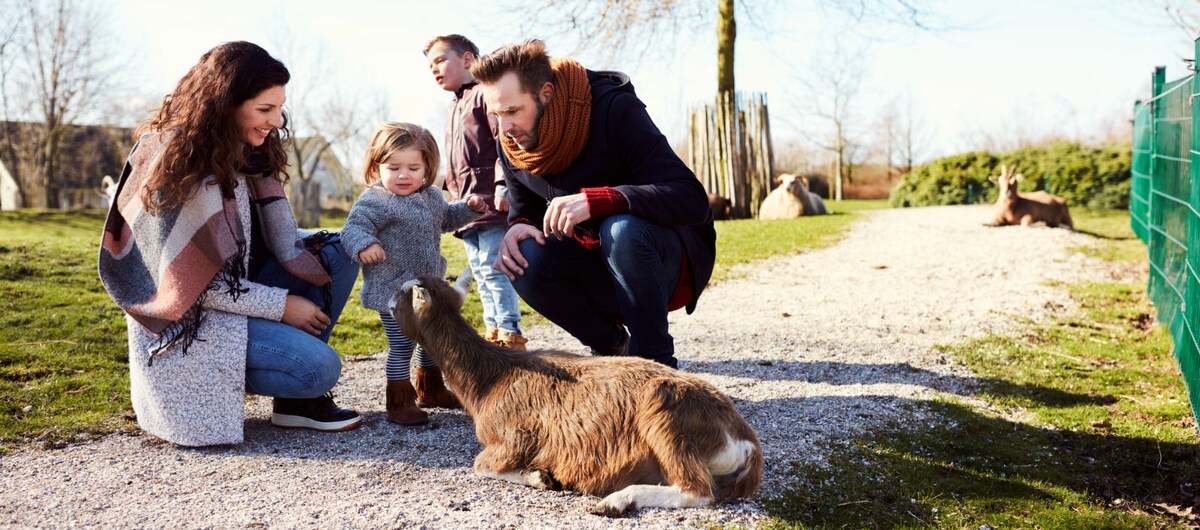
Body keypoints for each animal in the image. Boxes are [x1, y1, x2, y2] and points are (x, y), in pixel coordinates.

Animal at [393, 276, 768, 518]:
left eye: (399, 295)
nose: (383, 299)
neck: (491, 378)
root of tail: (746, 443)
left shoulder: (513, 437)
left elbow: (482, 464)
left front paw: (540, 477)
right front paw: (541, 476)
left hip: (666, 416)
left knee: (699, 491)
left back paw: (616, 502)